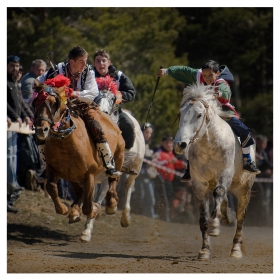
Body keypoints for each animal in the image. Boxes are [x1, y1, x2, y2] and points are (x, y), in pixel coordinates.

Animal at [32, 80, 124, 224]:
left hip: (119, 156)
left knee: (113, 179)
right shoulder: (53, 169)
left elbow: (87, 206)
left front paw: (94, 210)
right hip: (72, 175)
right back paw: (74, 211)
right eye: (35, 103)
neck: (66, 145)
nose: (41, 129)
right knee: (79, 190)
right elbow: (51, 187)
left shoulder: (89, 175)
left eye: (53, 103)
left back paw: (111, 204)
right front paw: (63, 209)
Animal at [174, 83, 258, 260]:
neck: (210, 145)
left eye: (199, 115)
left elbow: (219, 192)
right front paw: (205, 250)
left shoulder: (224, 175)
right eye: (181, 113)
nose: (180, 145)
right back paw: (226, 216)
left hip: (244, 189)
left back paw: (236, 248)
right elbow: (203, 219)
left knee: (240, 217)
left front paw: (214, 226)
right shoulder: (199, 185)